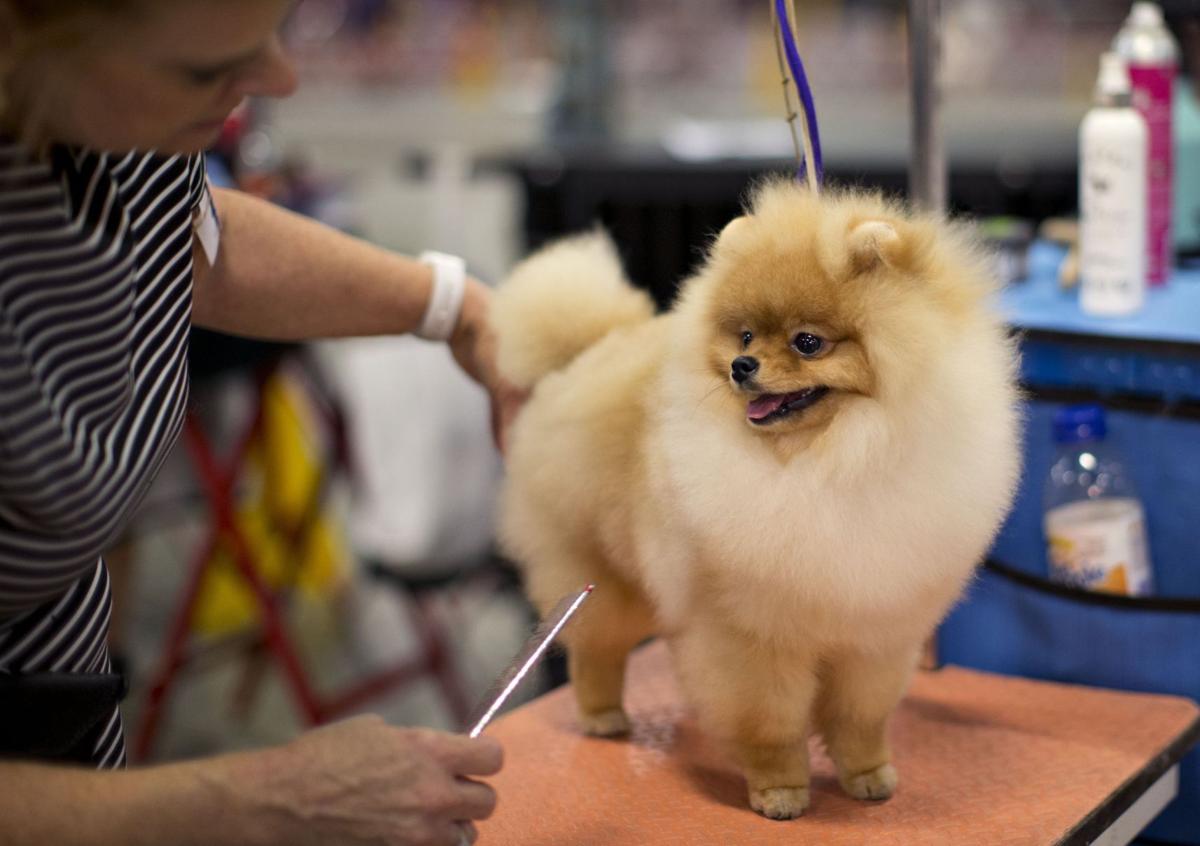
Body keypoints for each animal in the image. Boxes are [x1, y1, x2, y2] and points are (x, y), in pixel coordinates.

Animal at [492, 180, 1017, 816]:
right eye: (744, 336)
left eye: (807, 342)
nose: (743, 366)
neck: (831, 459)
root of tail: (588, 349)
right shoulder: (751, 633)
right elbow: (770, 722)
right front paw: (780, 790)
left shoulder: (875, 630)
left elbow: (860, 716)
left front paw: (868, 775)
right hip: (596, 575)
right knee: (595, 649)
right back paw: (603, 716)